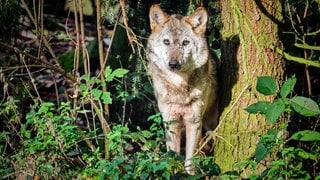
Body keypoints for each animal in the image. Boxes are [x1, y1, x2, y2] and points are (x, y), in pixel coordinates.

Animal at [146, 3, 219, 173]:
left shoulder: (194, 122)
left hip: (210, 124)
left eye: (185, 43)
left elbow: (190, 159)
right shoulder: (170, 121)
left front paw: (189, 174)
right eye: (166, 42)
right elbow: (172, 154)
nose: (173, 64)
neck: (178, 87)